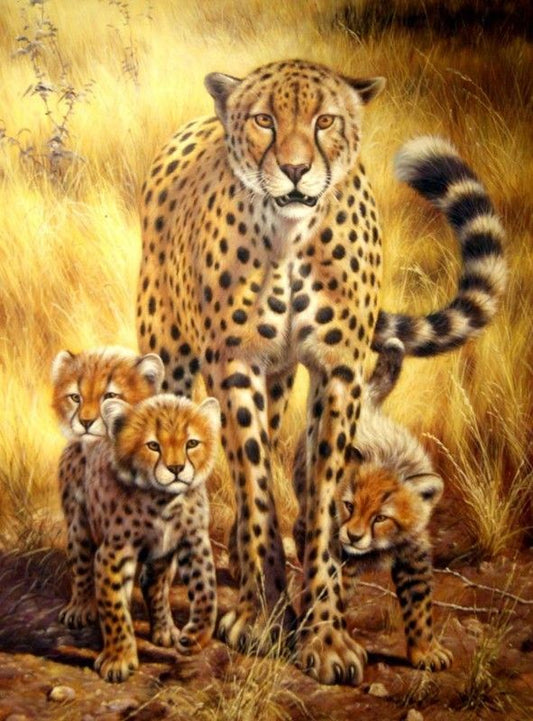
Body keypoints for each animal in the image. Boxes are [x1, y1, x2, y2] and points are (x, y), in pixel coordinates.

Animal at [52, 346, 165, 628]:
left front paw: (165, 627)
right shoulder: (78, 517)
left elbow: (159, 581)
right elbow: (81, 562)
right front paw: (81, 607)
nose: (86, 422)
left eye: (110, 396)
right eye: (75, 397)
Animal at [82, 393, 220, 682]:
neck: (164, 501)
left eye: (192, 443)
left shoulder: (193, 539)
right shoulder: (114, 551)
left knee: (152, 583)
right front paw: (119, 658)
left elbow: (206, 591)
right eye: (153, 445)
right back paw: (78, 610)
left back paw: (165, 630)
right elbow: (113, 606)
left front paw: (196, 637)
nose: (176, 468)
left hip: (162, 556)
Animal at [293, 338, 453, 671]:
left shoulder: (413, 555)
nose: (353, 536)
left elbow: (419, 608)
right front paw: (325, 644)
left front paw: (425, 652)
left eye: (381, 518)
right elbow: (328, 595)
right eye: (349, 506)